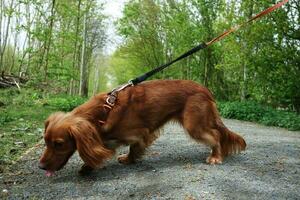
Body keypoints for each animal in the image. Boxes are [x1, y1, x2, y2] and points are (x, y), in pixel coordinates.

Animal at [38, 79, 246, 177]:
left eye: (59, 143)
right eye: (46, 142)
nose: (41, 167)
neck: (102, 112)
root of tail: (206, 90)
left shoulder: (138, 133)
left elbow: (132, 147)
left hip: (194, 125)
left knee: (216, 136)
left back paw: (216, 156)